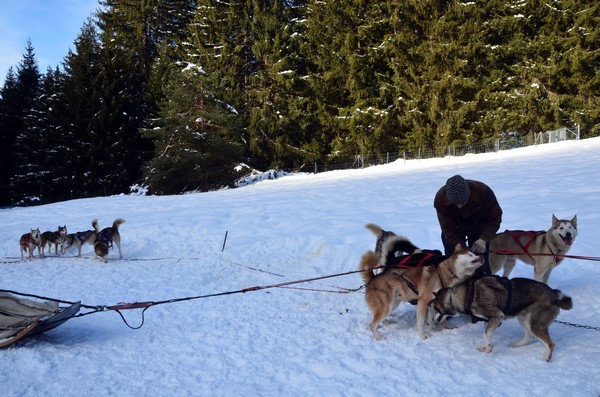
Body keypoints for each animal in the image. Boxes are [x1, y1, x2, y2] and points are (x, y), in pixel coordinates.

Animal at [428, 274, 568, 360]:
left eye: (436, 309)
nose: (433, 320)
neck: (467, 295)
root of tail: (555, 296)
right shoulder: (488, 320)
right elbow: (486, 335)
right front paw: (485, 347)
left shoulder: (497, 316)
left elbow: (486, 334)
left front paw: (489, 349)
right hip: (524, 319)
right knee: (529, 336)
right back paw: (517, 345)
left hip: (535, 324)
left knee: (550, 344)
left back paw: (546, 358)